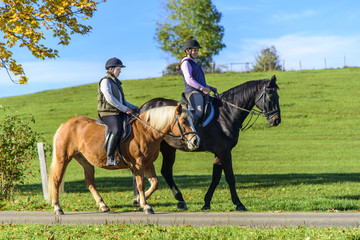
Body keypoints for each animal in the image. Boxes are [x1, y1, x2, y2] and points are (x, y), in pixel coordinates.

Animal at [47, 103, 200, 214]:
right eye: (184, 121)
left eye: (192, 120)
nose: (196, 141)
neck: (147, 131)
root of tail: (65, 125)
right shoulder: (138, 164)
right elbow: (141, 184)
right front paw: (145, 206)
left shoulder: (148, 164)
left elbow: (155, 183)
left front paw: (138, 201)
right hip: (63, 158)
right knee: (56, 180)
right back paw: (58, 207)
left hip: (85, 161)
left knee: (90, 182)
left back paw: (103, 205)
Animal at [135, 76, 282, 211]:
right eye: (270, 97)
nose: (276, 120)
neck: (226, 113)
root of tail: (142, 108)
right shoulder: (224, 151)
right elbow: (230, 177)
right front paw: (239, 204)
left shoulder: (219, 152)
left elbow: (215, 178)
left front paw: (206, 203)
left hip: (168, 149)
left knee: (165, 171)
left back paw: (177, 200)